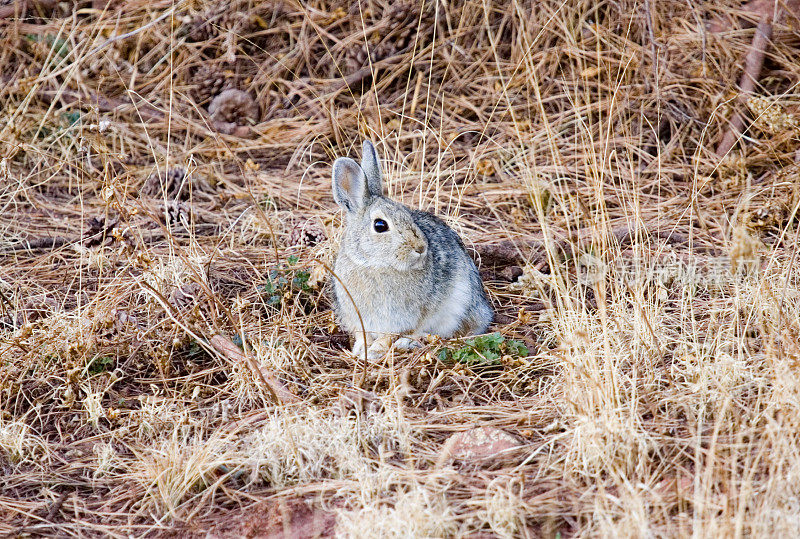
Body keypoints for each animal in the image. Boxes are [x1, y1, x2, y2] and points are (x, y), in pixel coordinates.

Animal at [328, 140, 490, 358]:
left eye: (408, 214)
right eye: (380, 225)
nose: (421, 248)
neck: (374, 264)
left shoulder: (402, 319)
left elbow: (390, 336)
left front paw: (375, 352)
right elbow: (363, 335)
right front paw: (360, 349)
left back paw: (406, 344)